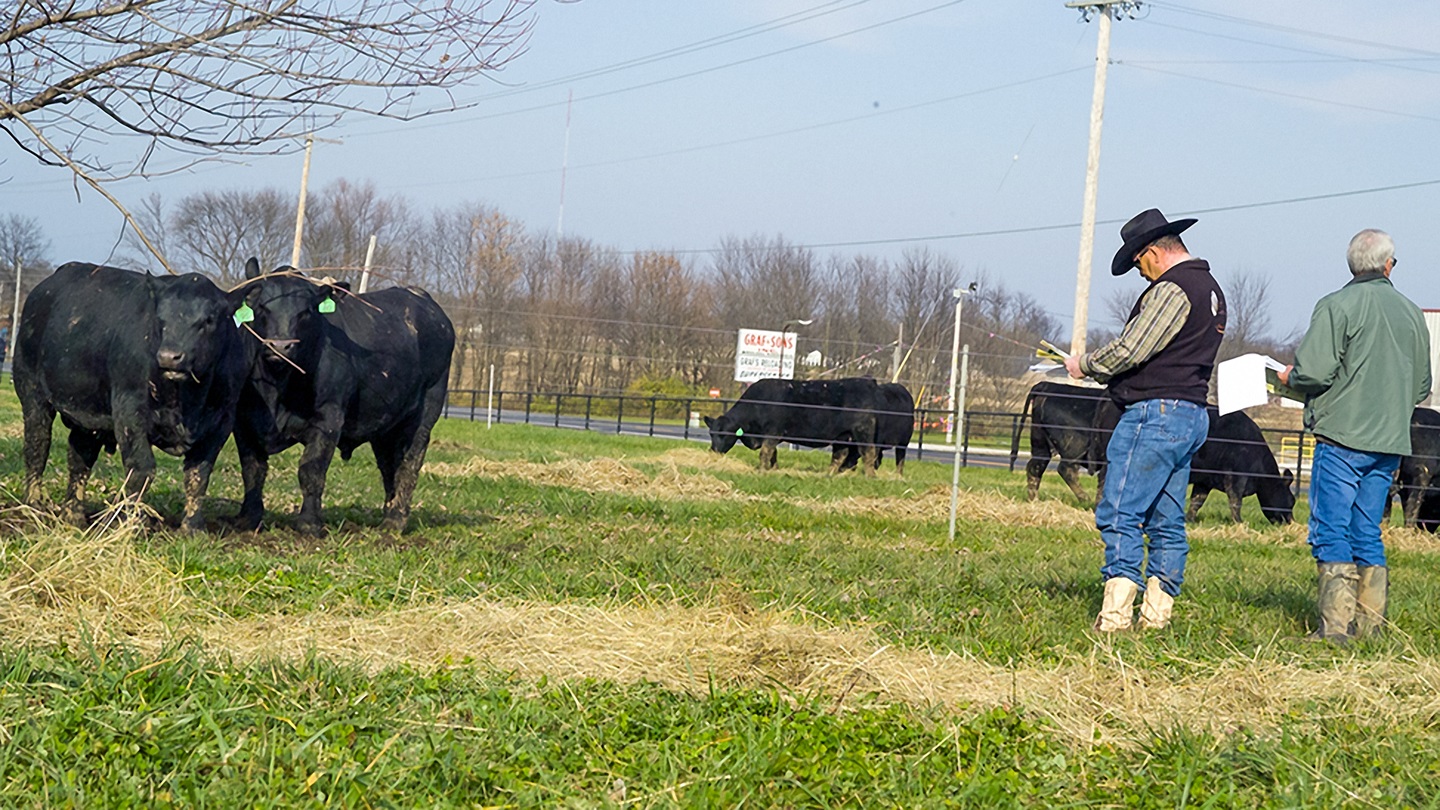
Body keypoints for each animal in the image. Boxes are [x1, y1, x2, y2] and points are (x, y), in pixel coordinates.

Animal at [13, 263, 248, 532]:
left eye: (209, 320)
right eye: (160, 320)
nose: (169, 356)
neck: (187, 402)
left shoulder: (222, 422)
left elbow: (198, 474)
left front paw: (193, 528)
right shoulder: (129, 410)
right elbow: (141, 469)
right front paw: (127, 523)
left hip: (88, 413)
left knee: (79, 456)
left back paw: (73, 515)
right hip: (32, 391)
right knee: (37, 446)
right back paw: (33, 506)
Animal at [232, 260, 455, 536]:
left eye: (306, 312)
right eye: (262, 306)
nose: (281, 346)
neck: (277, 389)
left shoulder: (329, 419)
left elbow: (311, 470)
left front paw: (309, 524)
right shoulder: (244, 421)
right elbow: (252, 470)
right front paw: (248, 519)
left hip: (424, 415)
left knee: (409, 464)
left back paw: (395, 521)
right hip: (386, 425)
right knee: (389, 467)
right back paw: (388, 514)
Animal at [703, 377, 881, 475]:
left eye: (724, 434)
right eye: (711, 434)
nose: (714, 452)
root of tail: (868, 382)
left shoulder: (773, 432)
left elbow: (765, 453)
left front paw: (761, 471)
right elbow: (773, 454)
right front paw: (773, 470)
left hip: (862, 431)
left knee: (868, 453)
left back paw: (870, 476)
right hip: (842, 436)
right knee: (839, 456)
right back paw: (828, 475)